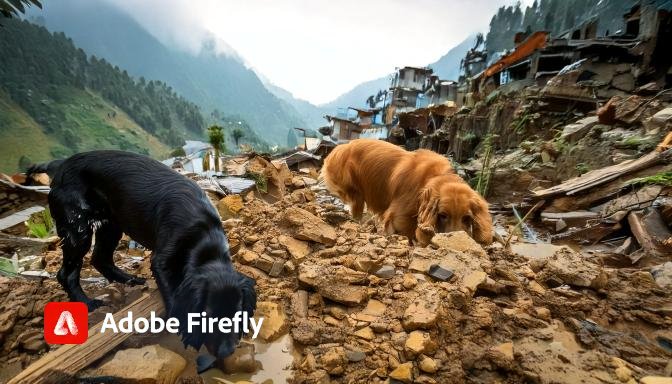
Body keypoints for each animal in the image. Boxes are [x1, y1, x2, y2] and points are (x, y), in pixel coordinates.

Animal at [27, 150, 256, 356]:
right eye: (208, 316)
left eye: (236, 316)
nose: (226, 352)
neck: (204, 232)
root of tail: (61, 164)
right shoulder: (161, 261)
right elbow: (172, 295)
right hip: (78, 228)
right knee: (67, 273)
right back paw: (88, 303)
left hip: (111, 224)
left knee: (100, 259)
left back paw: (130, 280)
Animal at [320, 140, 494, 244]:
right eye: (443, 215)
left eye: (466, 218)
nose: (454, 241)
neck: (433, 177)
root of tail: (342, 146)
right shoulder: (399, 216)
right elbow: (406, 232)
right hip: (355, 193)